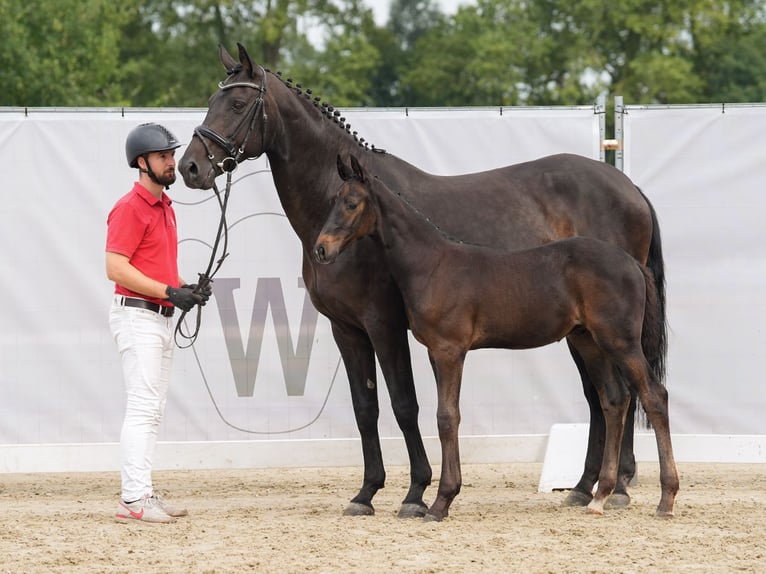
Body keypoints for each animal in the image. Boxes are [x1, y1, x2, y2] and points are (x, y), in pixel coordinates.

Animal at [312, 156, 680, 520]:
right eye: (333, 201)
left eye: (351, 203)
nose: (321, 249)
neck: (433, 264)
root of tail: (632, 264)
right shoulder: (435, 352)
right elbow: (445, 415)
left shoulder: (449, 350)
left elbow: (447, 417)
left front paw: (441, 501)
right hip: (589, 342)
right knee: (614, 400)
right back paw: (599, 496)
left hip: (620, 342)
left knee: (653, 396)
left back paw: (665, 499)